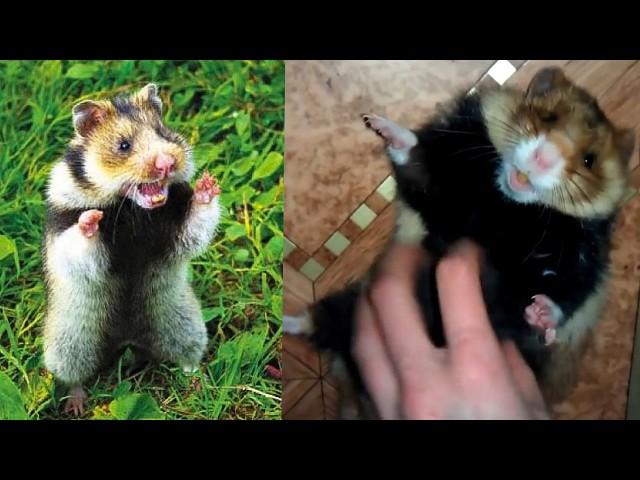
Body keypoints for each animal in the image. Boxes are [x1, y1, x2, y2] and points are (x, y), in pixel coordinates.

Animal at [43, 84, 222, 414]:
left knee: (186, 357)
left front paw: (207, 186)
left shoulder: (176, 231)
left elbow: (194, 224)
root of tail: (127, 341)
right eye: (123, 146)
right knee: (74, 376)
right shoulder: (63, 230)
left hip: (183, 323)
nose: (167, 163)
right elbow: (79, 243)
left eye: (163, 132)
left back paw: (197, 381)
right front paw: (91, 220)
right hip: (70, 341)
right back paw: (76, 405)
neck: (134, 210)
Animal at [286, 67, 636, 416]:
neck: (503, 202)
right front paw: (377, 124)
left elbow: (564, 291)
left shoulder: (579, 256)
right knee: (318, 322)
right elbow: (415, 156)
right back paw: (286, 322)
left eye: (590, 160)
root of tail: (355, 392)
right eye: (548, 117)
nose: (543, 159)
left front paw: (540, 311)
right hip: (352, 302)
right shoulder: (440, 185)